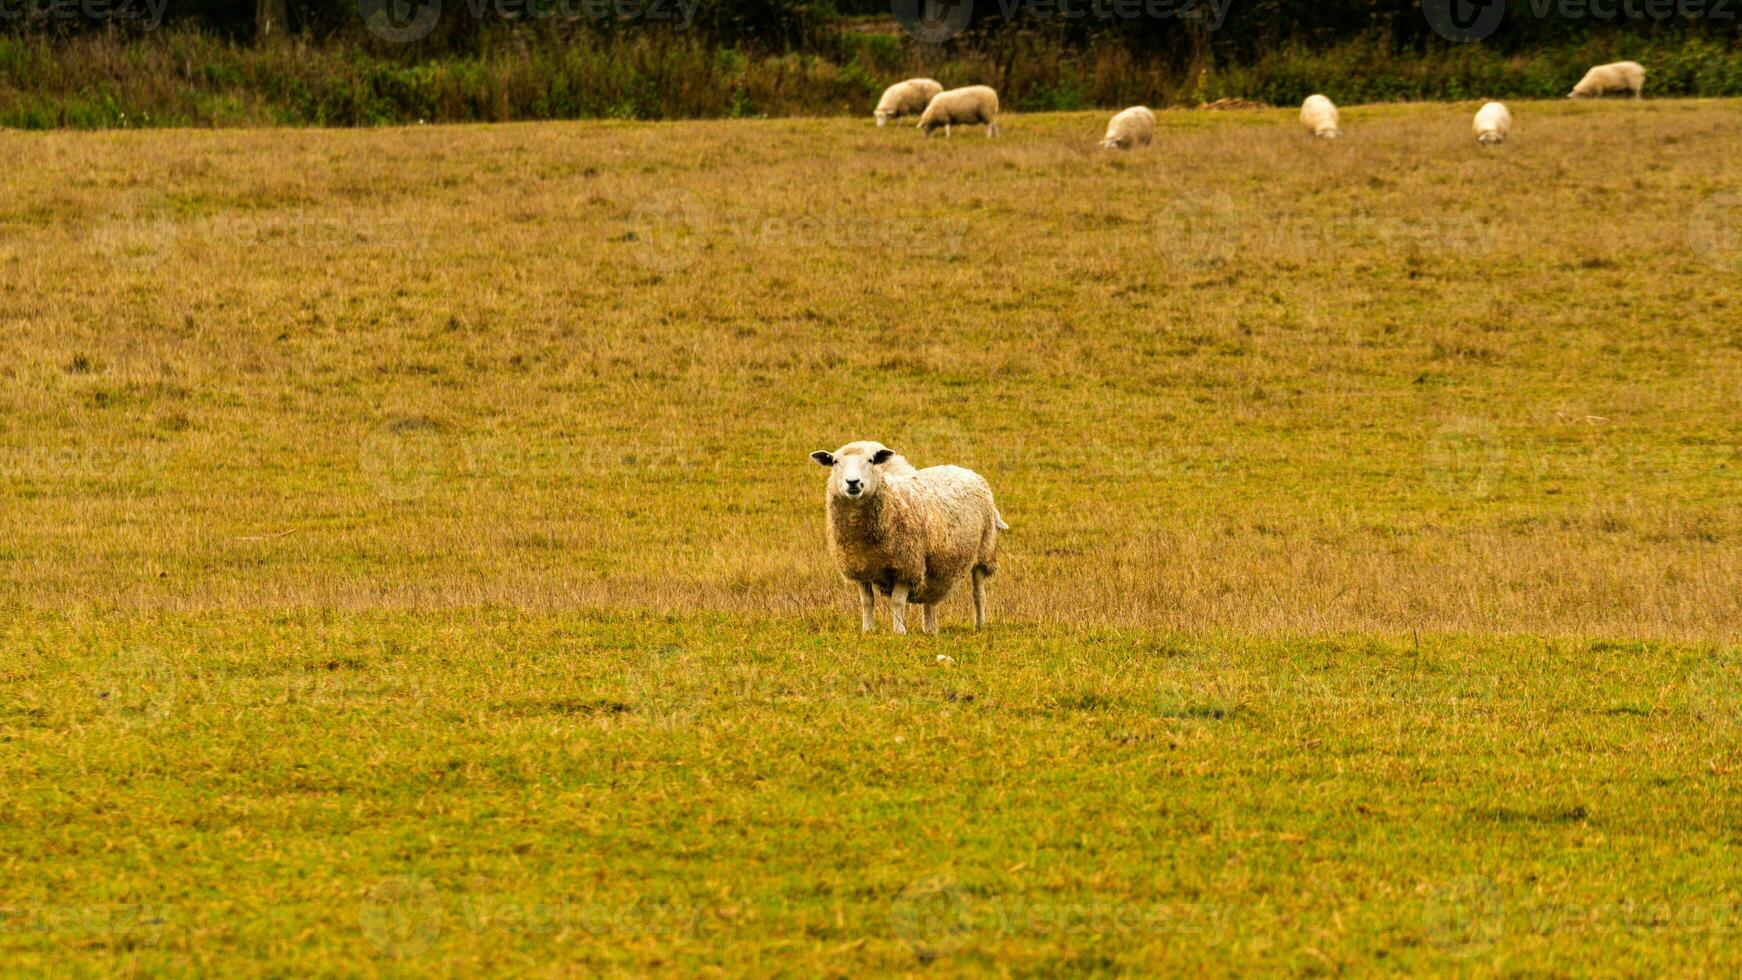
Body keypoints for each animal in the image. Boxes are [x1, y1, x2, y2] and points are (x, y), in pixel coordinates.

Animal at [804, 438, 1010, 637]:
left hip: (984, 551)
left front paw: (899, 631)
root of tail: (965, 470)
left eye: (871, 460)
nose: (853, 482)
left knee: (978, 594)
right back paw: (930, 629)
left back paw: (980, 624)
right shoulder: (860, 567)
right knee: (930, 599)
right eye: (835, 462)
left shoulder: (906, 566)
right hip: (936, 565)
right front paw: (867, 630)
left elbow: (897, 602)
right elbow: (866, 602)